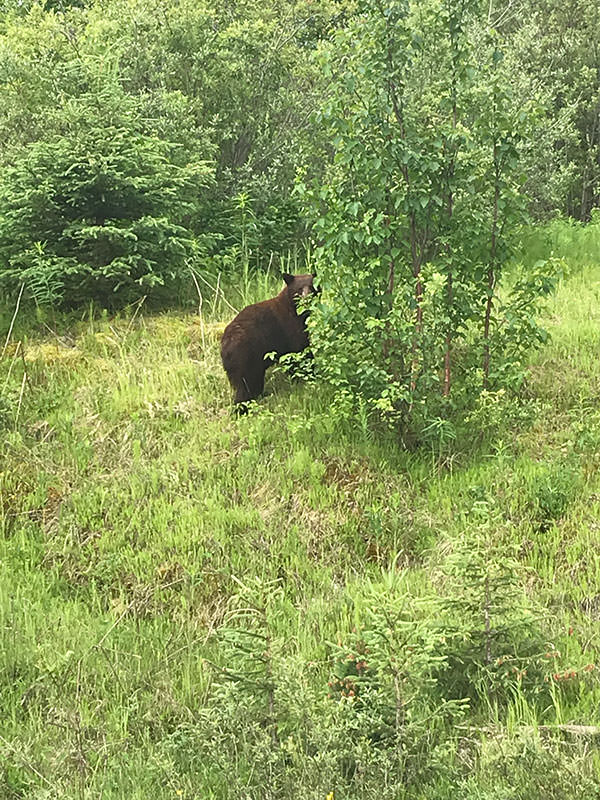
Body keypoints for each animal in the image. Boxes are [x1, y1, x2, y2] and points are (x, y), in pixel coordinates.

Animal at [221, 274, 316, 412]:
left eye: (311, 286)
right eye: (299, 289)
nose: (306, 298)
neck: (294, 310)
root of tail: (225, 345)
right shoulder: (291, 328)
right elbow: (300, 351)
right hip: (247, 360)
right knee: (245, 387)